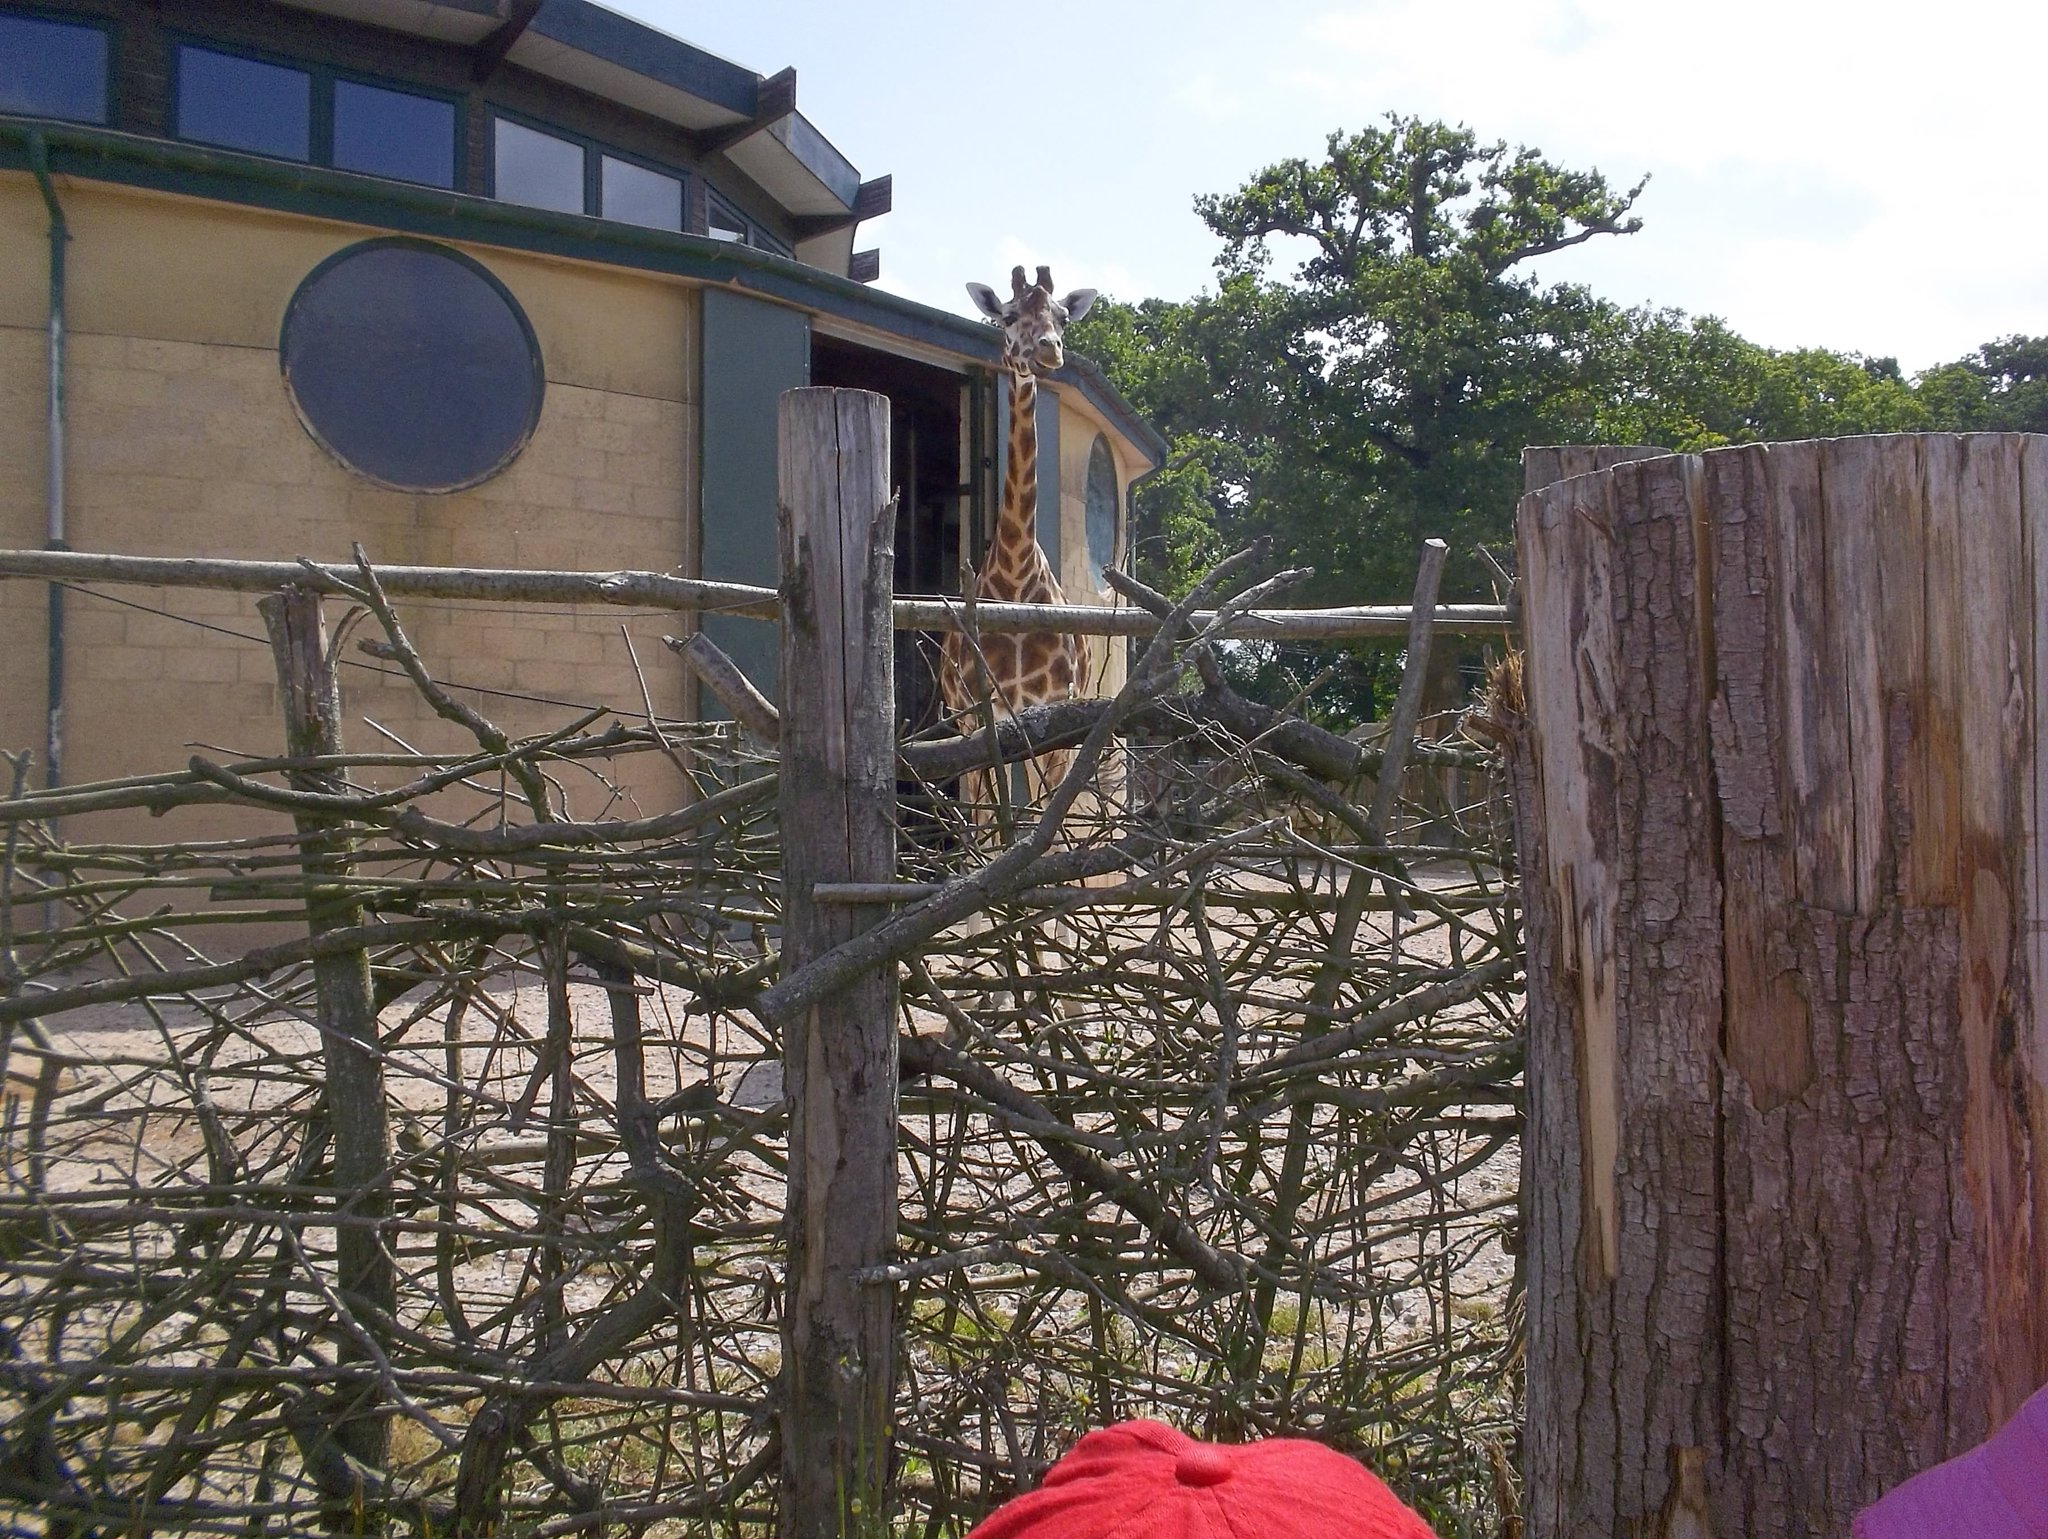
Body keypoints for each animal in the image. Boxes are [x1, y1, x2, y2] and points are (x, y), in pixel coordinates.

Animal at [942, 262, 1105, 832]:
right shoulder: (977, 716)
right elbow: (991, 822)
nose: (1049, 351)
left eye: (1061, 317)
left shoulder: (1054, 713)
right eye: (1010, 316)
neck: (1013, 573)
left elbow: (1044, 820)